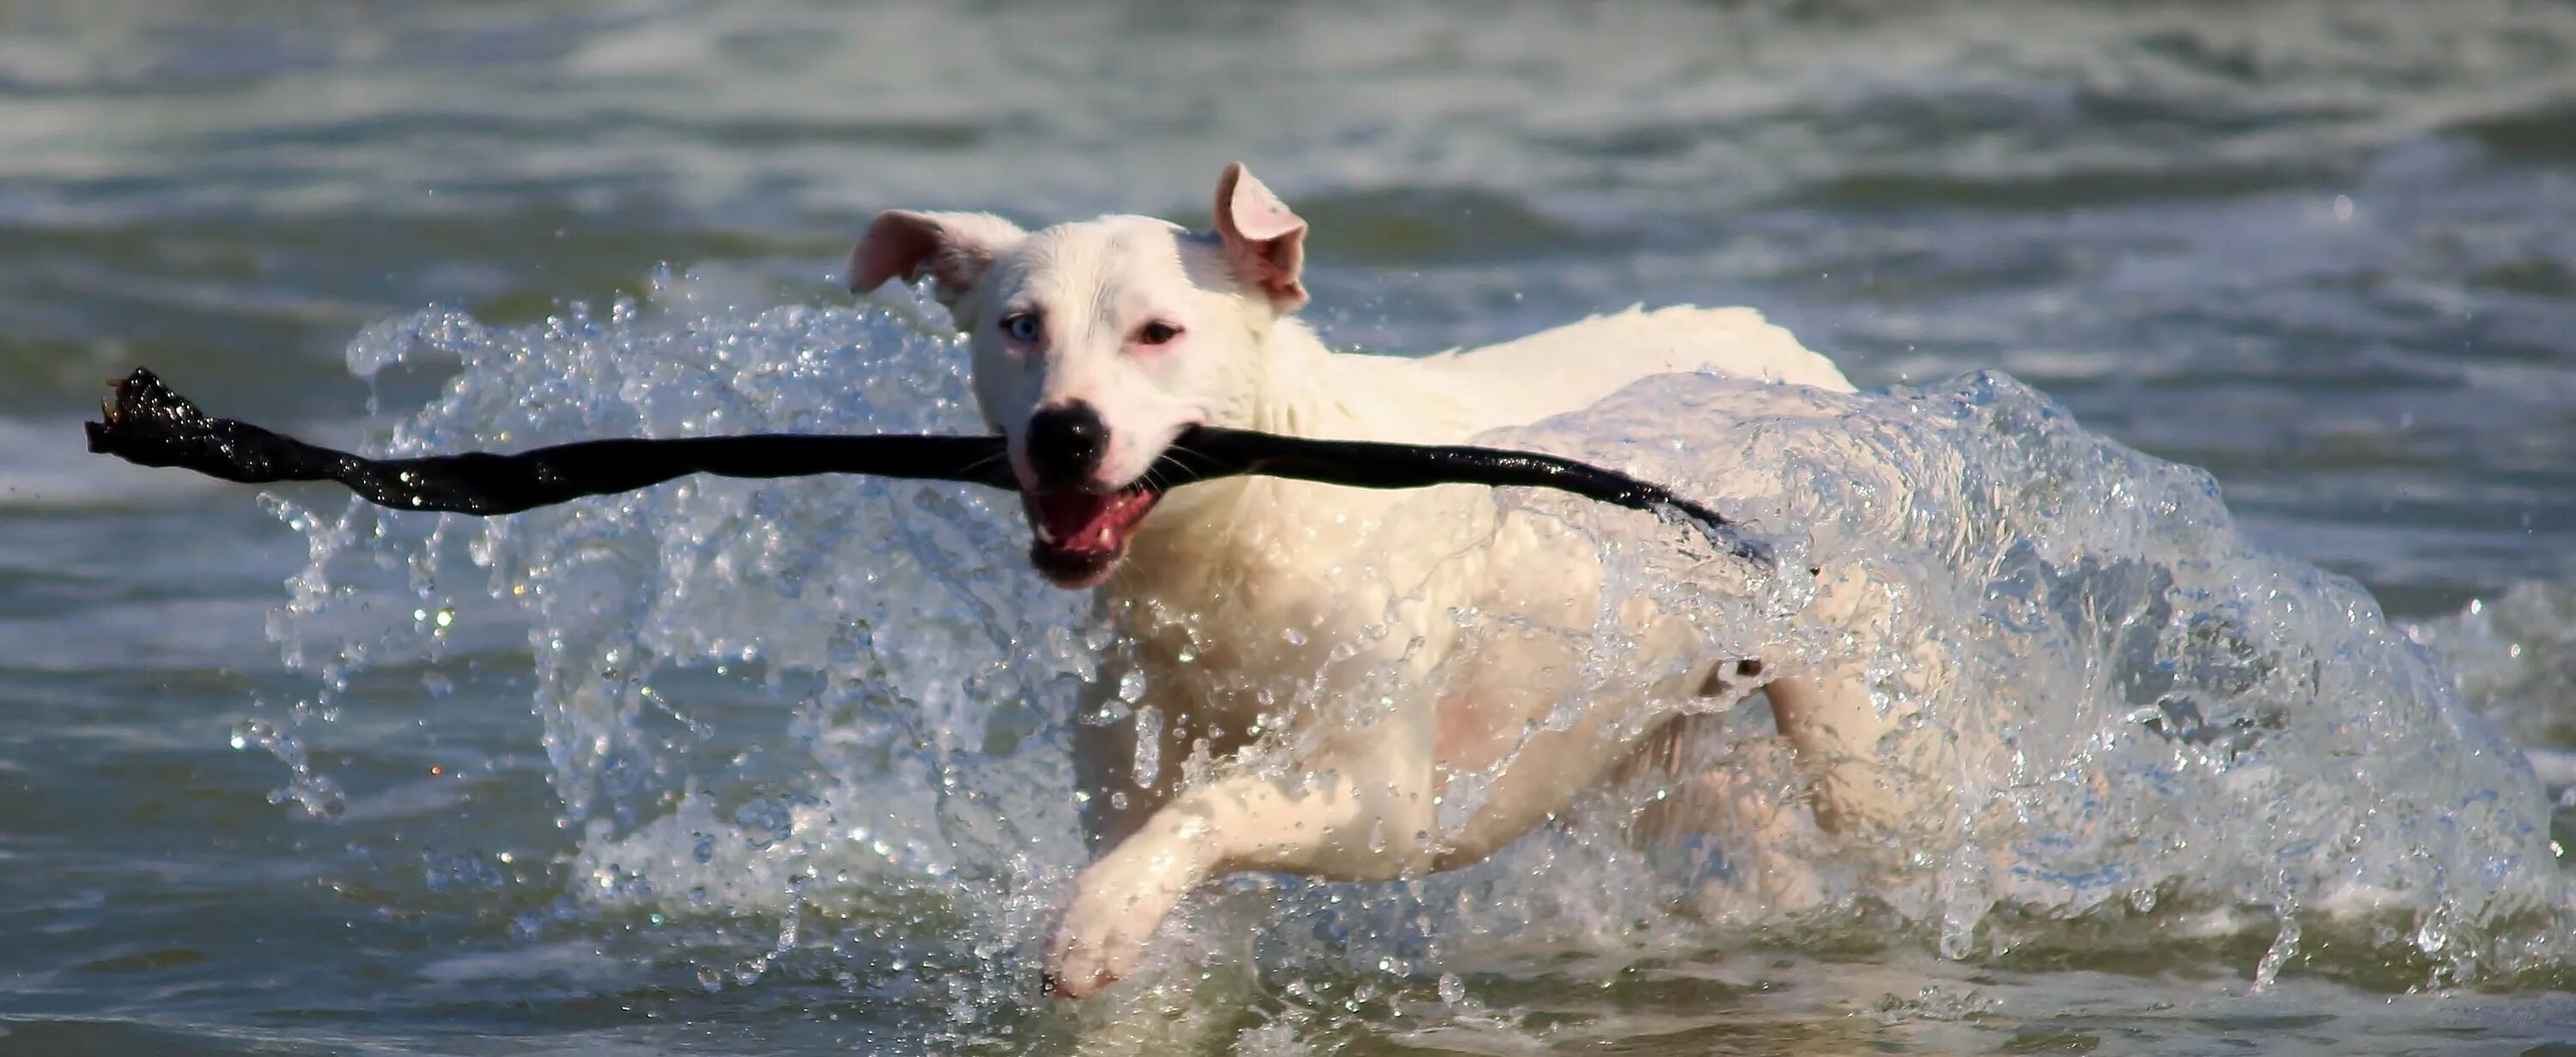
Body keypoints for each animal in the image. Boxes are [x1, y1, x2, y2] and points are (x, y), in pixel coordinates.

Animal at [845, 165, 1917, 999]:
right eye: (1021, 325)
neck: (1241, 536)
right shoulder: (1132, 769)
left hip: (1844, 720)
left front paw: (1095, 922)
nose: (1064, 432)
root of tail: (1782, 348)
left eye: (1159, 332)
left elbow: (1215, 809)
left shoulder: (1379, 803)